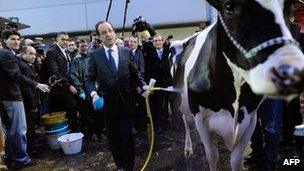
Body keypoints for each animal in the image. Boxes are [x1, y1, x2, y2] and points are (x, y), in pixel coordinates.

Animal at [170, 0, 304, 171]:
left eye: (289, 6)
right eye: (229, 7)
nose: (291, 70)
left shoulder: (250, 118)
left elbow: (236, 159)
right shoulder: (200, 117)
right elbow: (212, 155)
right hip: (182, 100)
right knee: (185, 120)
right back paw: (188, 148)